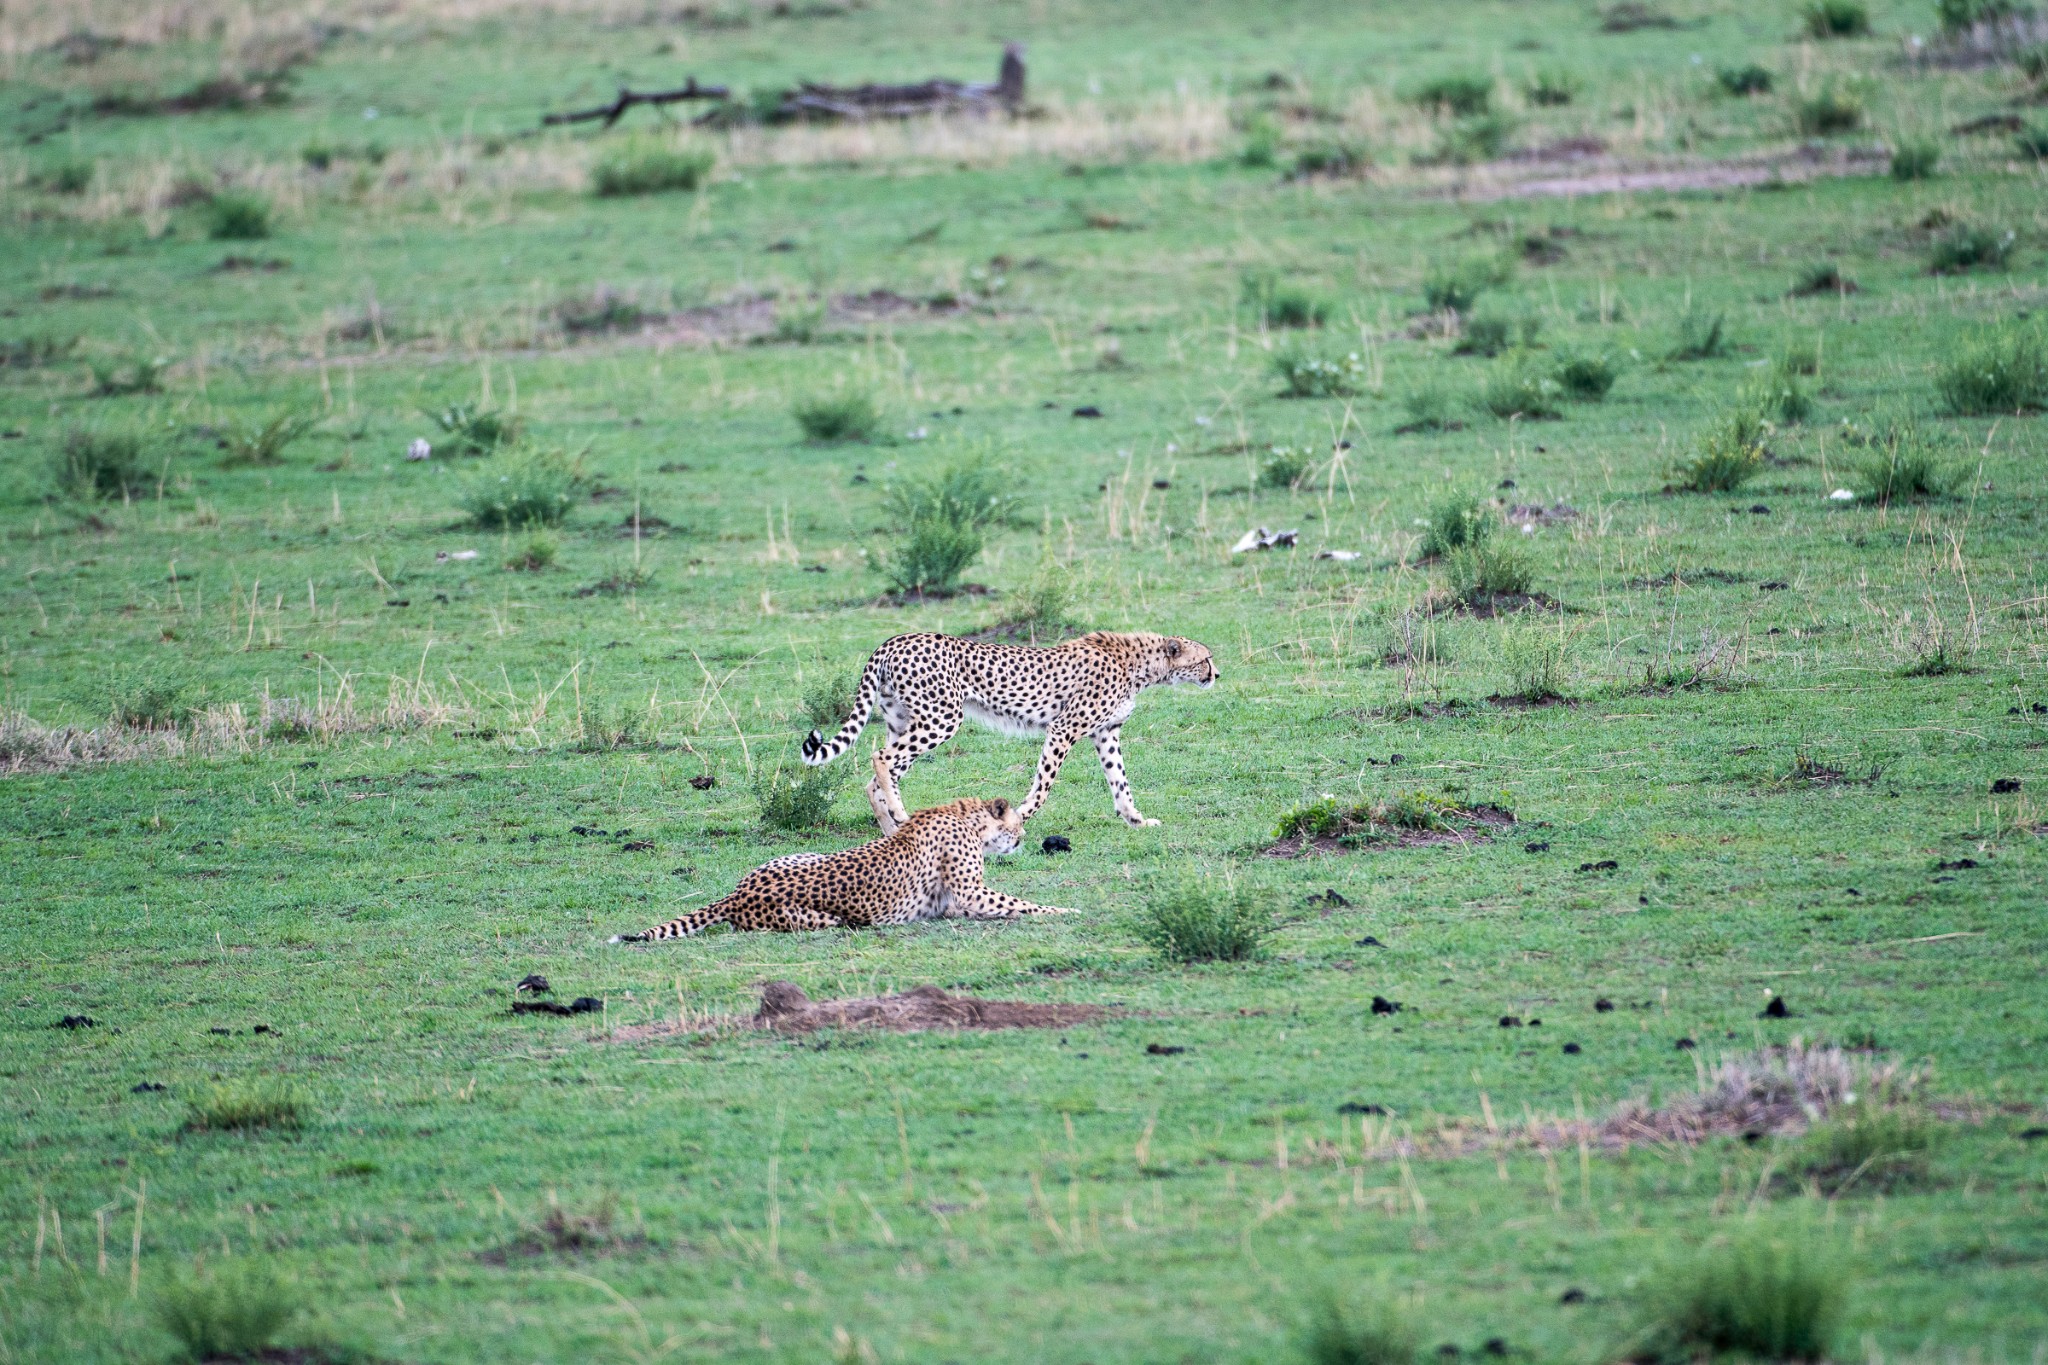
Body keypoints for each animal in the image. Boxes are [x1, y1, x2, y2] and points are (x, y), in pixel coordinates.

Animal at [614, 769, 1081, 941]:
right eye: (1018, 822)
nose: (1023, 837)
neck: (967, 820)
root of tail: (737, 894)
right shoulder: (969, 895)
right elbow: (1025, 904)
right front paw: (1068, 911)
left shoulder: (957, 902)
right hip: (823, 918)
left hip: (797, 854)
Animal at [798, 630, 1212, 834]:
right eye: (1205, 659)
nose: (1217, 674)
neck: (1139, 663)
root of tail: (891, 641)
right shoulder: (1063, 729)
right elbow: (1043, 786)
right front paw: (1021, 815)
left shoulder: (1106, 733)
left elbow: (1120, 783)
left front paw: (1137, 821)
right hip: (942, 718)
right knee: (881, 758)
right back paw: (899, 815)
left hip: (903, 720)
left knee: (876, 776)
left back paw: (892, 830)